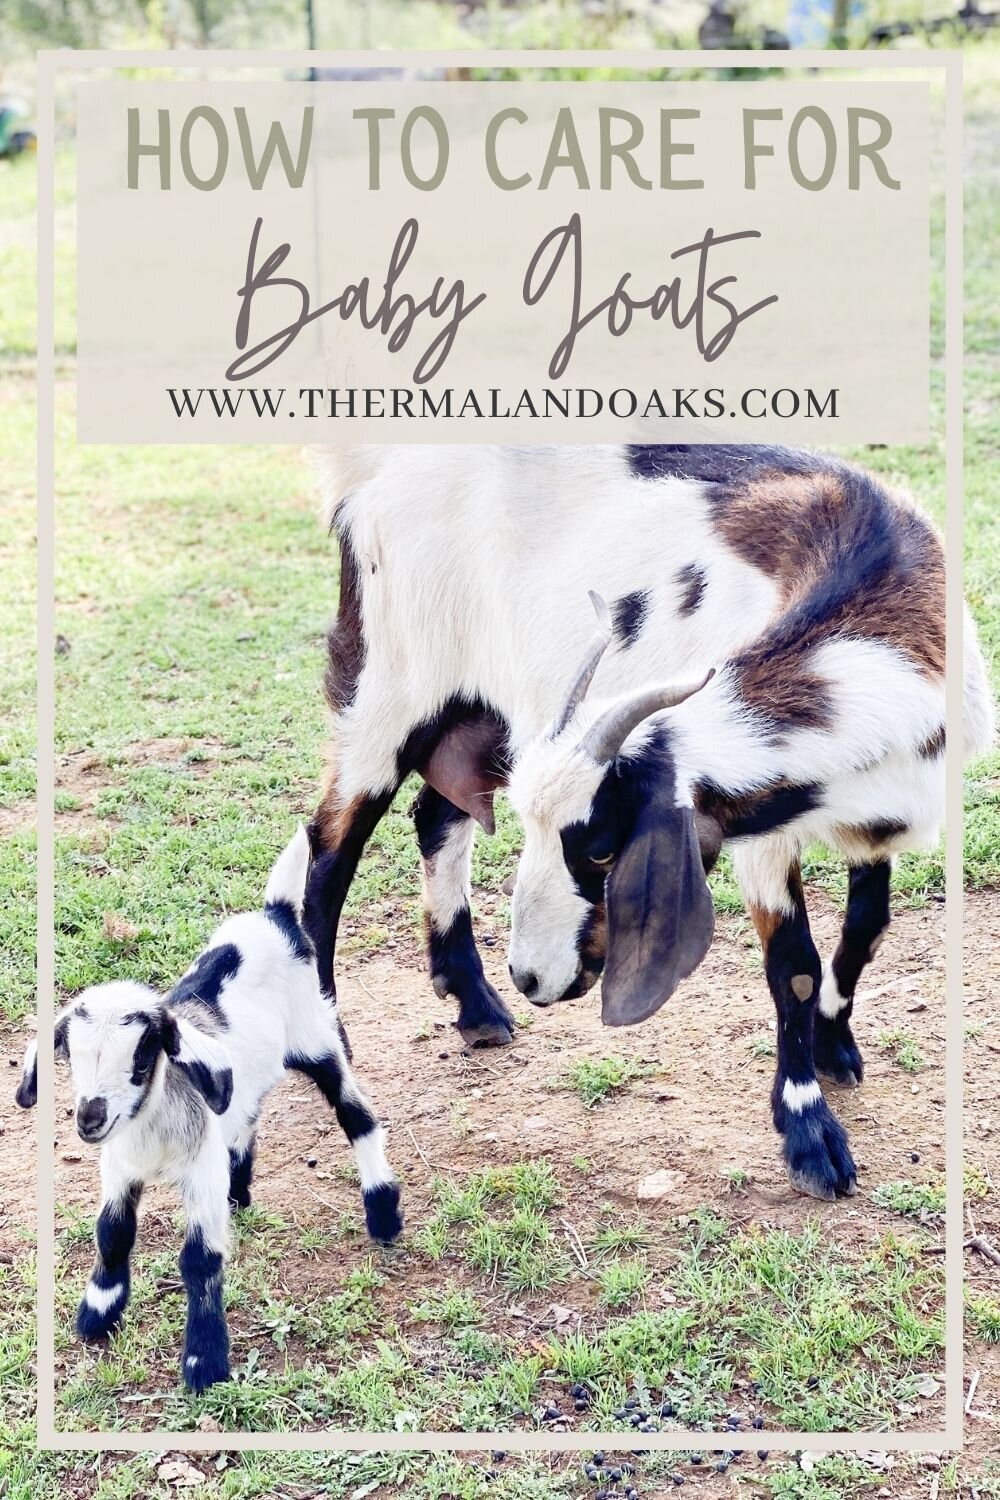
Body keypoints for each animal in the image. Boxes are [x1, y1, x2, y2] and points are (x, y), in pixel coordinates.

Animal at [16, 826, 402, 1392]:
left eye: (143, 1056)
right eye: (69, 1057)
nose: (90, 1118)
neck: (151, 1128)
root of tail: (276, 915)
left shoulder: (198, 1169)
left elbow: (199, 1258)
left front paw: (204, 1361)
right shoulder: (120, 1165)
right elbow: (112, 1234)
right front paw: (98, 1313)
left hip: (317, 1037)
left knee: (358, 1116)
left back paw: (383, 1211)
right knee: (248, 1113)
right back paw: (239, 1190)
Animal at [303, 443, 993, 1200]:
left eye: (603, 851)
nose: (529, 978)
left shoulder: (871, 815)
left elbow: (867, 926)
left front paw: (836, 1044)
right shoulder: (764, 835)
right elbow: (793, 966)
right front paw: (811, 1136)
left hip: (478, 705)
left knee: (437, 817)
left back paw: (477, 1008)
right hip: (387, 694)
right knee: (329, 854)